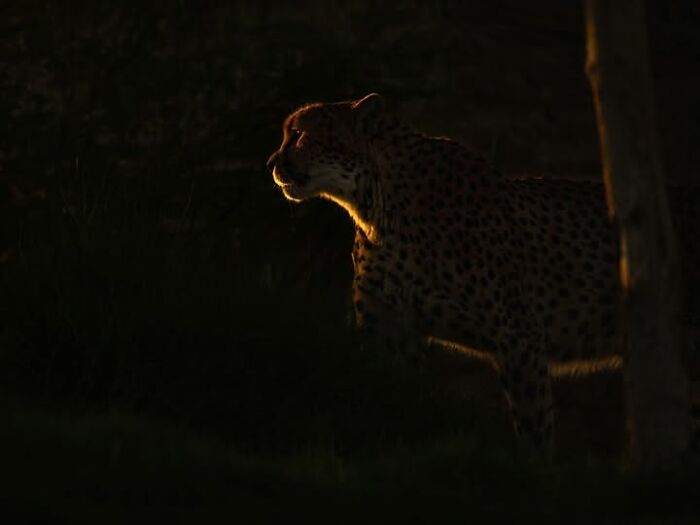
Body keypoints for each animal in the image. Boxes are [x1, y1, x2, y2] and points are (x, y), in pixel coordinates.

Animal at [266, 93, 700, 452]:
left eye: (300, 135)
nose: (271, 164)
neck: (375, 204)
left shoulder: (519, 337)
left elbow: (534, 424)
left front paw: (539, 476)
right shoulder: (391, 331)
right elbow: (397, 402)